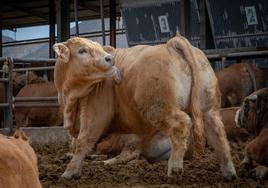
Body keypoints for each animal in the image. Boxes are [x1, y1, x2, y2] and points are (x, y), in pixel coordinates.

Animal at [55, 34, 236, 181]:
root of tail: (171, 44)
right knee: (218, 134)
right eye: (82, 50)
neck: (71, 99)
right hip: (209, 110)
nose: (109, 59)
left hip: (156, 109)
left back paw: (175, 168)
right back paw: (229, 172)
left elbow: (83, 141)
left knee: (181, 124)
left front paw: (69, 172)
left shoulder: (95, 114)